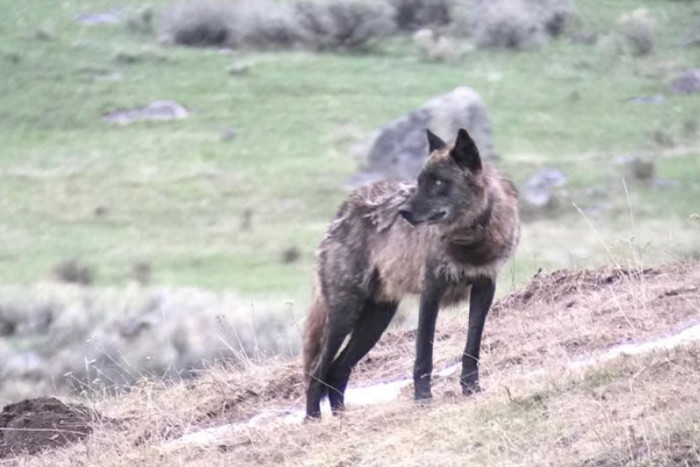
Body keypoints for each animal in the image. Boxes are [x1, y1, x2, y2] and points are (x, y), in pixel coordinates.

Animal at [303, 128, 520, 419]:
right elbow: (423, 353)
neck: (469, 242)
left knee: (337, 370)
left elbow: (471, 347)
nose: (402, 212)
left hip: (375, 322)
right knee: (317, 371)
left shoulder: (485, 288)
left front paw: (471, 389)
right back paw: (313, 420)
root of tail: (340, 212)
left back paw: (341, 417)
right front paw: (422, 398)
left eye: (438, 182)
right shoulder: (431, 292)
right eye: (419, 182)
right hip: (345, 314)